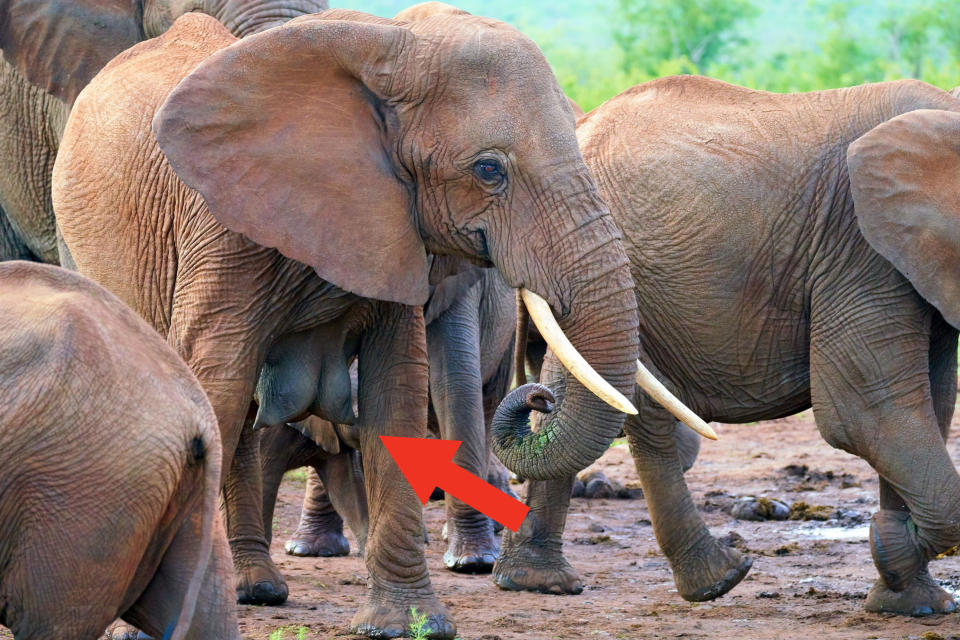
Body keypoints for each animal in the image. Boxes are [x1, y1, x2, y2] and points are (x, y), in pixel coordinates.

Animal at [50, 8, 704, 636]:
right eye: (489, 170)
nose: (538, 395)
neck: (386, 45)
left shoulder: (394, 229)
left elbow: (398, 392)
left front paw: (408, 624)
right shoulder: (223, 230)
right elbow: (215, 382)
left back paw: (256, 588)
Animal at [498, 75, 960, 620]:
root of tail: (584, 125)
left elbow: (932, 404)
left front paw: (911, 598)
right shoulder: (860, 250)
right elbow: (866, 411)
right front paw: (892, 548)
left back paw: (539, 581)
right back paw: (716, 579)